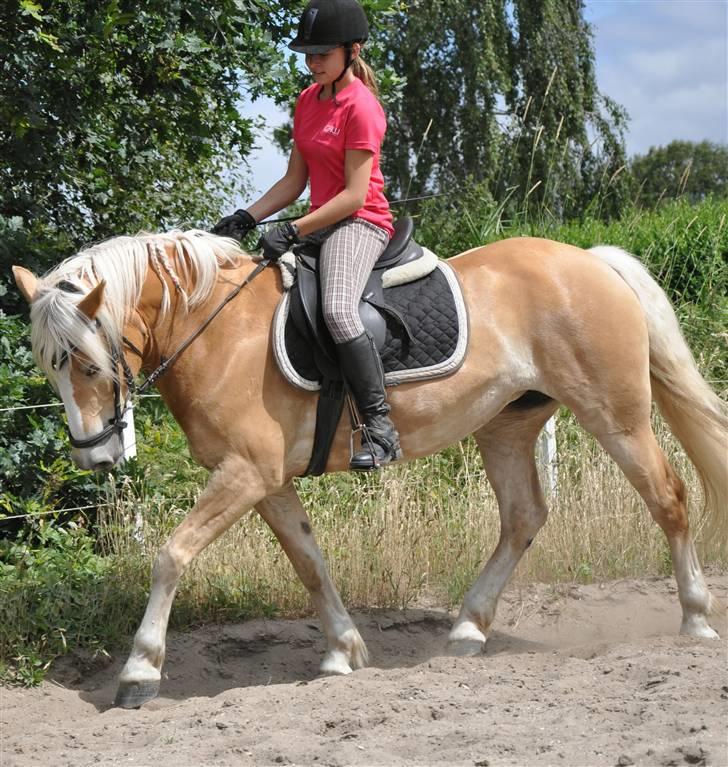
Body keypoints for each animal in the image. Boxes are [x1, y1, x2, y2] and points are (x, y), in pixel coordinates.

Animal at [12, 228, 728, 708]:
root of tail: (591, 260)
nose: (96, 456)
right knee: (524, 517)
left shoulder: (244, 473)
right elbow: (309, 561)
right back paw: (467, 629)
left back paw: (695, 620)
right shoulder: (265, 481)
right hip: (507, 424)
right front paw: (343, 651)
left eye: (87, 362)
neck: (218, 332)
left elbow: (171, 556)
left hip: (616, 415)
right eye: (50, 365)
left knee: (669, 497)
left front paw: (140, 672)